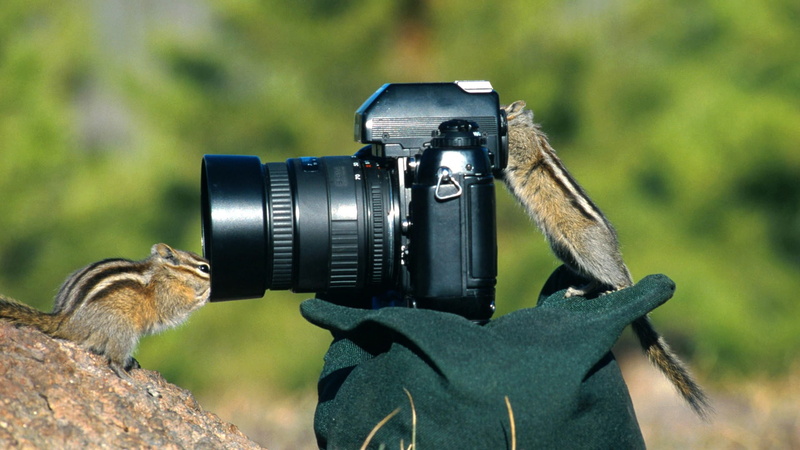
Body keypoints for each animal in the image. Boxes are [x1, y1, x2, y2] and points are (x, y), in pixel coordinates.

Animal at [0, 243, 210, 378]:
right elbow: (177, 308)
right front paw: (205, 294)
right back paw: (125, 375)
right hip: (122, 328)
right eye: (204, 268)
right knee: (113, 360)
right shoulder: (166, 296)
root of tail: (65, 321)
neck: (167, 273)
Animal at [501, 100, 711, 418]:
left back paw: (617, 289)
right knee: (595, 279)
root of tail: (616, 255)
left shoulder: (522, 145)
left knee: (614, 278)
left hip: (586, 248)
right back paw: (580, 290)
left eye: (503, 108)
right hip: (565, 250)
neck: (525, 125)